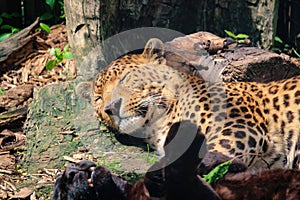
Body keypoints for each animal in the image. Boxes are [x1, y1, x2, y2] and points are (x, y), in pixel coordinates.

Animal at [90, 38, 298, 170]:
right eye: (98, 98)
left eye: (125, 77)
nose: (110, 107)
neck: (157, 126)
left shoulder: (239, 125)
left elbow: (213, 156)